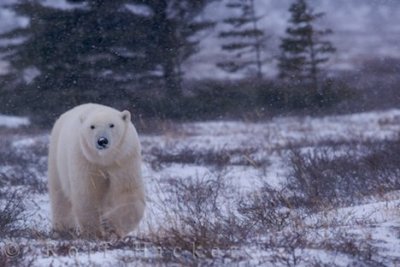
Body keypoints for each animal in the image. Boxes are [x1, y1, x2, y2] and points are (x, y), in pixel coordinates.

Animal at [47, 103, 145, 240]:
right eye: (92, 126)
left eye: (111, 125)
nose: (102, 140)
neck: (104, 159)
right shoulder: (85, 159)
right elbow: (87, 193)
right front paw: (93, 232)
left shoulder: (124, 158)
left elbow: (126, 192)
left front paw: (110, 227)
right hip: (56, 156)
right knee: (59, 194)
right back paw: (63, 229)